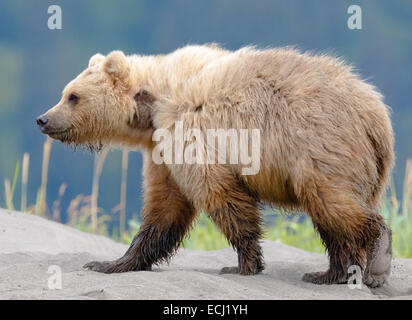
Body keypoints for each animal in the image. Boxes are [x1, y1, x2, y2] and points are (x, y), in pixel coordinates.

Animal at [37, 43, 394, 286]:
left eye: (73, 96)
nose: (43, 119)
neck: (153, 105)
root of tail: (376, 115)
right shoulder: (162, 151)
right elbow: (164, 210)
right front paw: (110, 262)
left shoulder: (194, 132)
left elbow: (223, 199)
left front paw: (241, 264)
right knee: (328, 216)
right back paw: (329, 272)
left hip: (320, 146)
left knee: (332, 202)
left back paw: (376, 255)